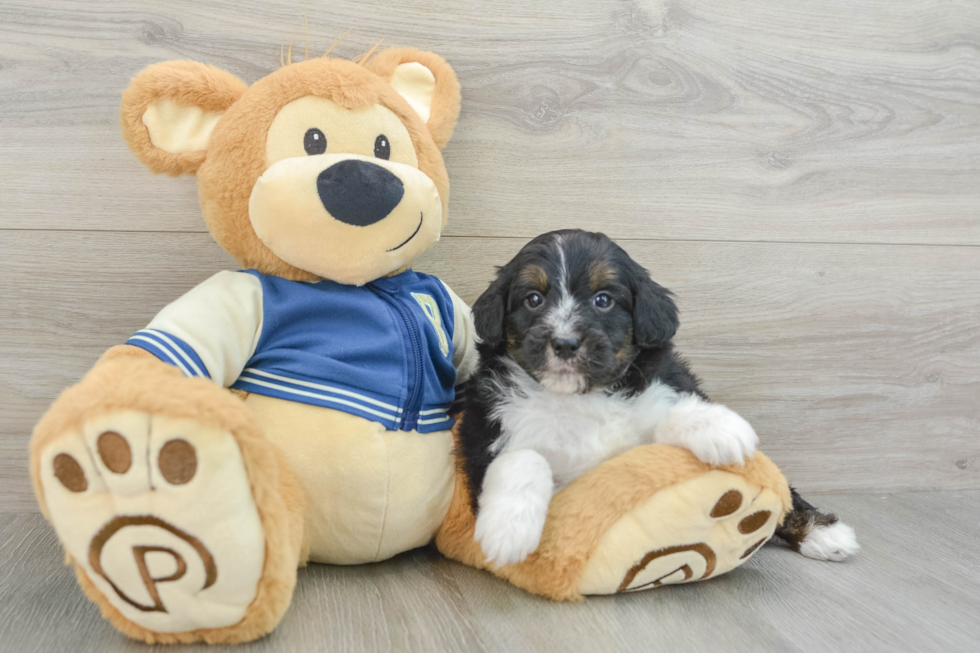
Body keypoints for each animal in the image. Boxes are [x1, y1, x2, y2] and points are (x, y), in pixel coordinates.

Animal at [456, 229, 852, 564]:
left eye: (603, 300)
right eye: (533, 299)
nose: (565, 343)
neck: (579, 397)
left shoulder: (656, 398)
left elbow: (669, 414)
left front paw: (720, 427)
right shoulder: (486, 434)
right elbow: (524, 458)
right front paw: (508, 528)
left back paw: (823, 532)